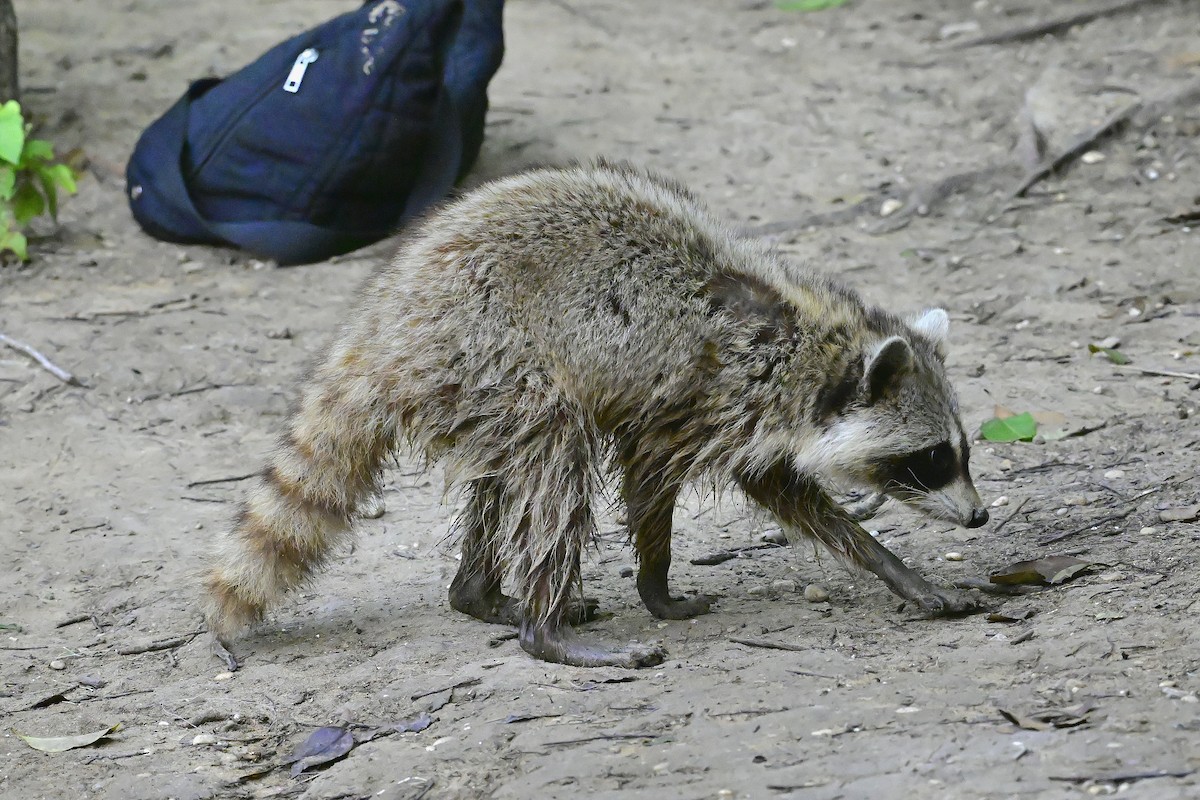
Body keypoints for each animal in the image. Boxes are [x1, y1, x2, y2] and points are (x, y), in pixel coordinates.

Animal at [203, 161, 989, 669]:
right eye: (931, 460)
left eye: (964, 451)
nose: (980, 516)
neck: (813, 344)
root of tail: (381, 324)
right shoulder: (708, 395)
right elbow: (671, 483)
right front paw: (657, 584)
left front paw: (896, 569)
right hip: (491, 350)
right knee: (555, 459)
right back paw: (544, 629)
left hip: (472, 385)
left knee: (507, 470)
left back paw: (480, 594)